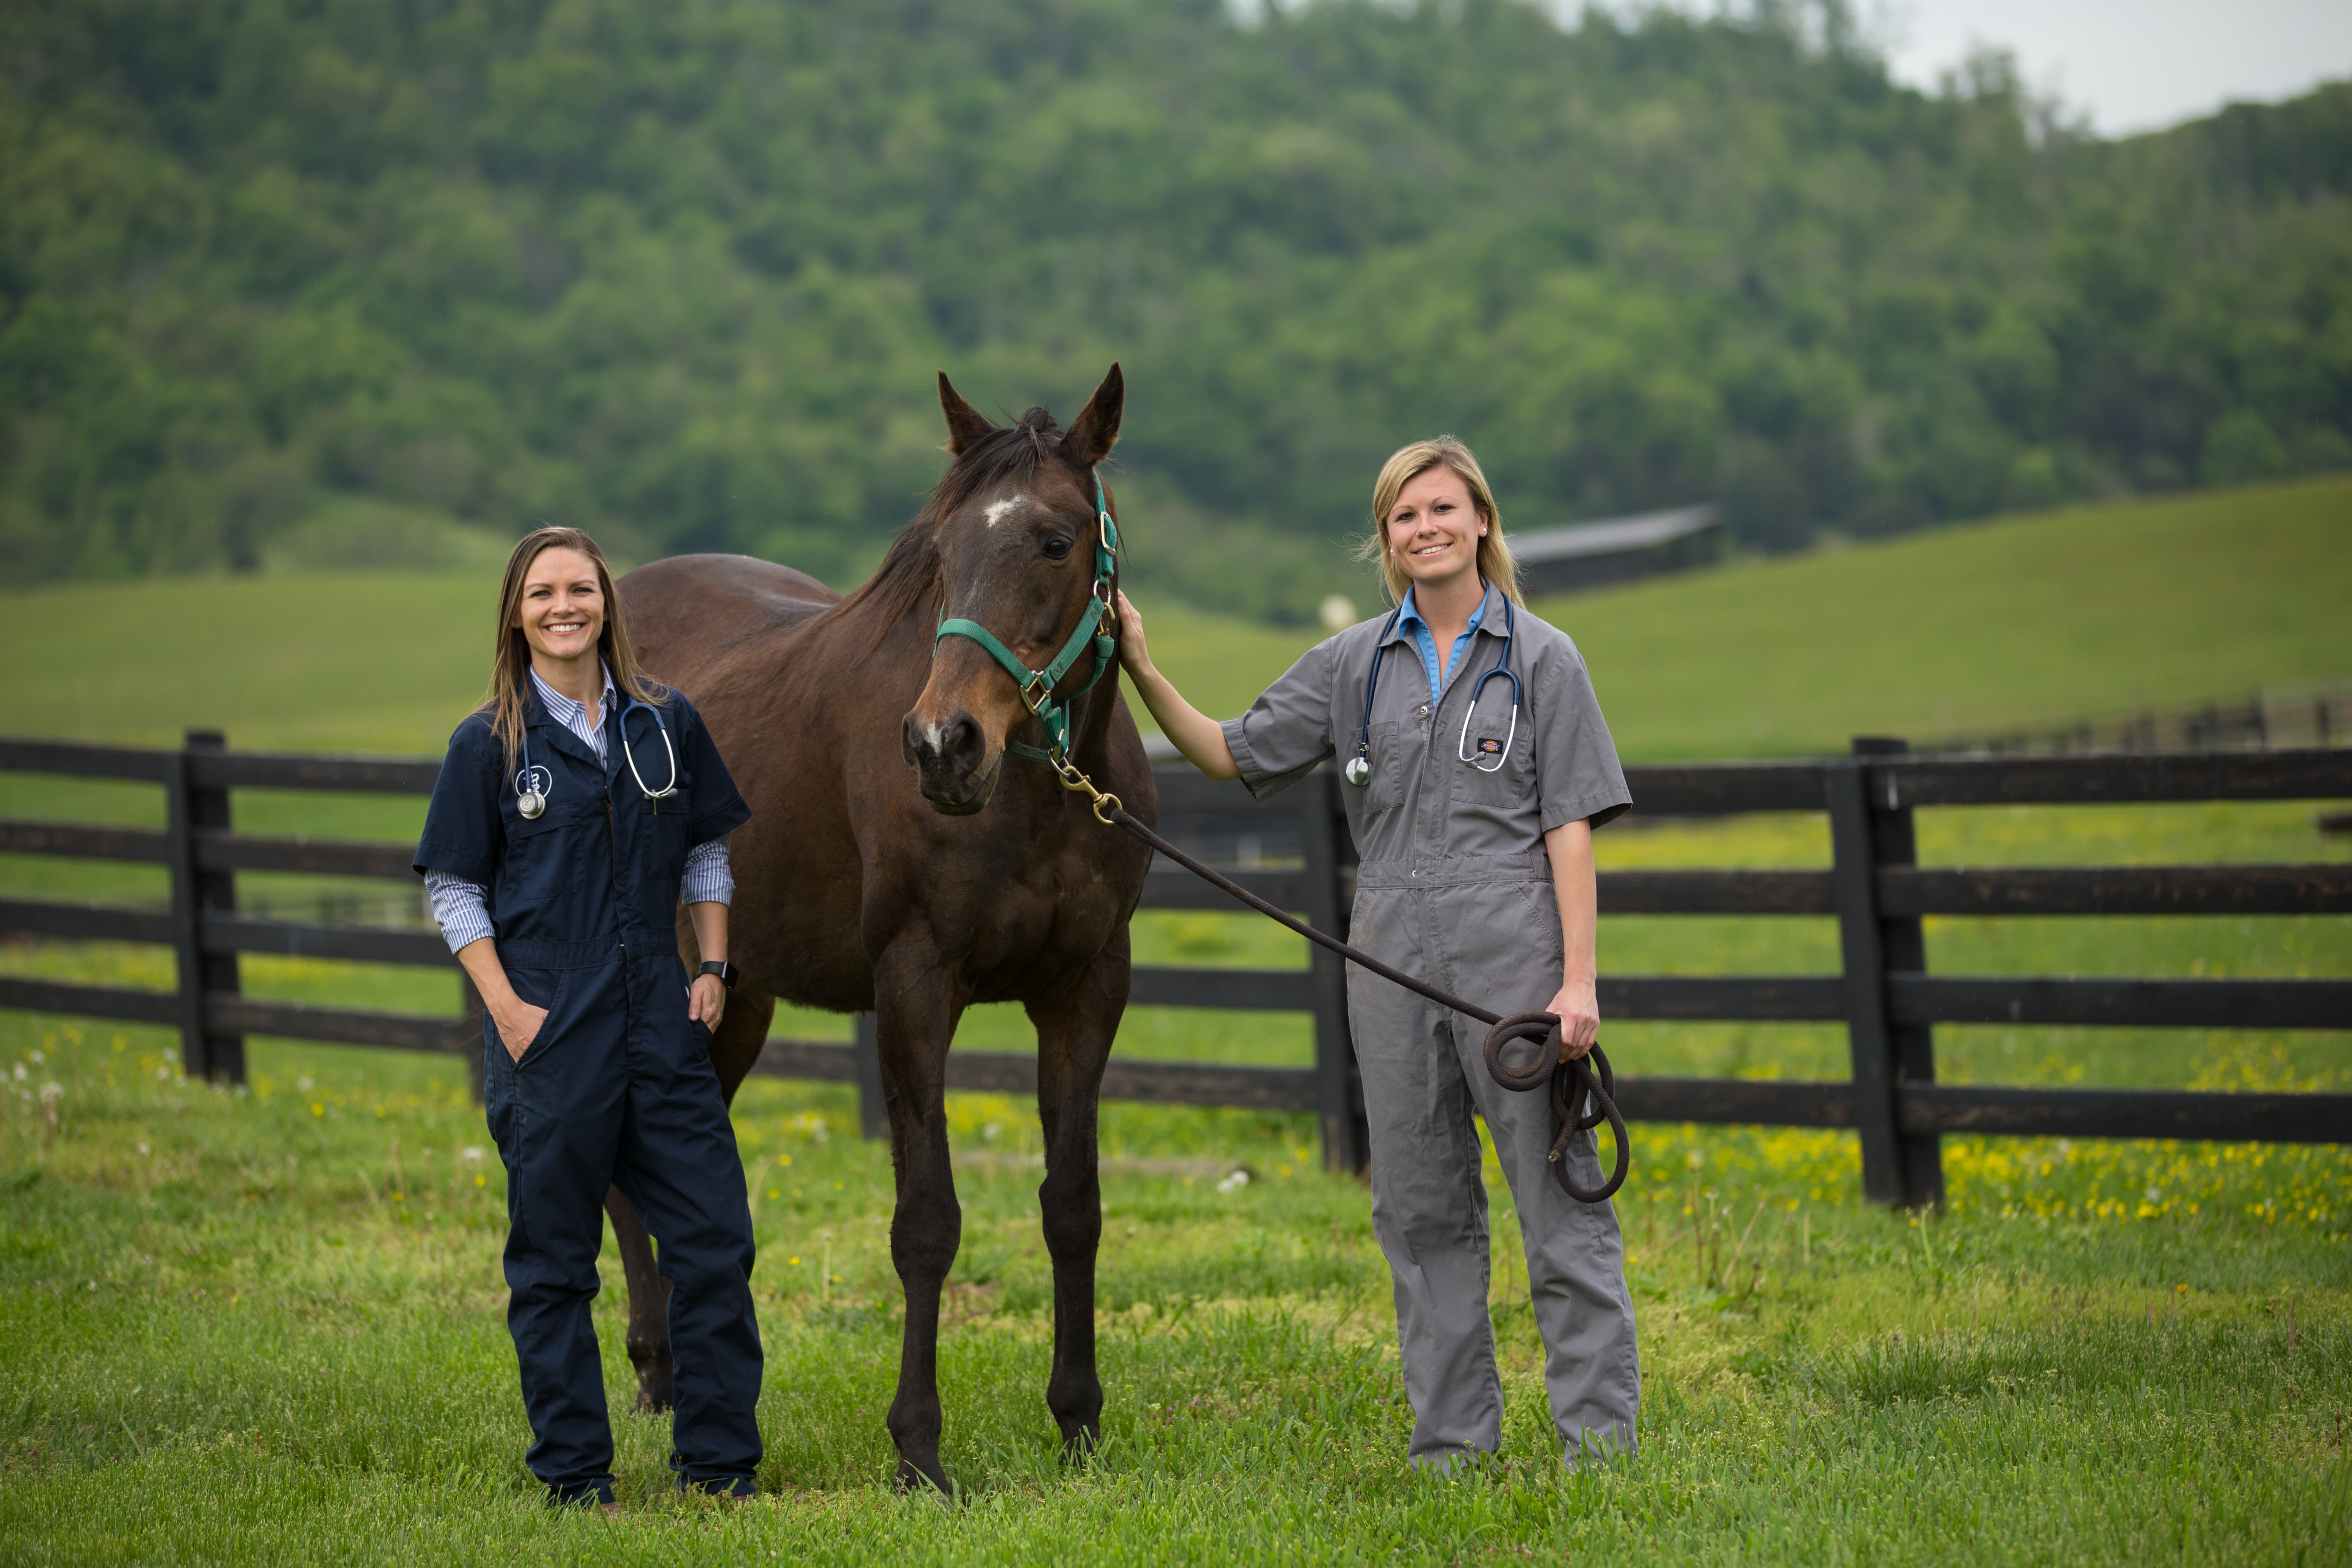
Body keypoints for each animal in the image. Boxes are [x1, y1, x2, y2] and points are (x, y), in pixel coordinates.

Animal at [606, 362, 1157, 1495]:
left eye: (1055, 540)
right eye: (940, 554)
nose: (944, 744)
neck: (1035, 799)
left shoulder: (1087, 988)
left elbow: (1072, 1206)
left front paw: (1078, 1422)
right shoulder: (913, 986)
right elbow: (927, 1222)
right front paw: (918, 1451)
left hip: (735, 1003)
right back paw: (656, 1378)